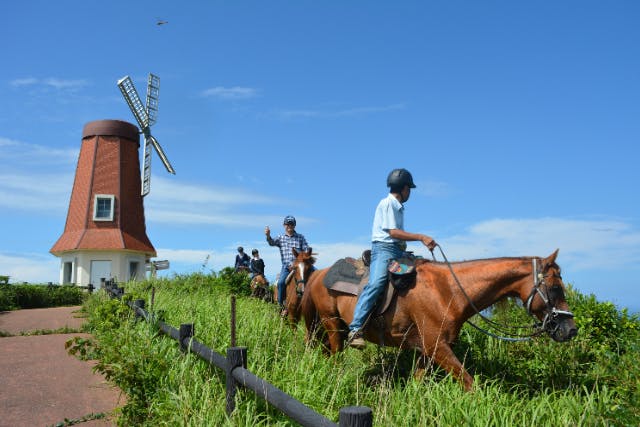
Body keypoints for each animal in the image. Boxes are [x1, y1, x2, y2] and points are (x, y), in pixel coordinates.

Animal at [302, 249, 576, 392]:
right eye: (555, 288)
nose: (570, 330)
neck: (449, 291)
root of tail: (319, 275)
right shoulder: (439, 347)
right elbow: (469, 383)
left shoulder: (428, 350)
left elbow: (417, 383)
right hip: (332, 326)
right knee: (335, 356)